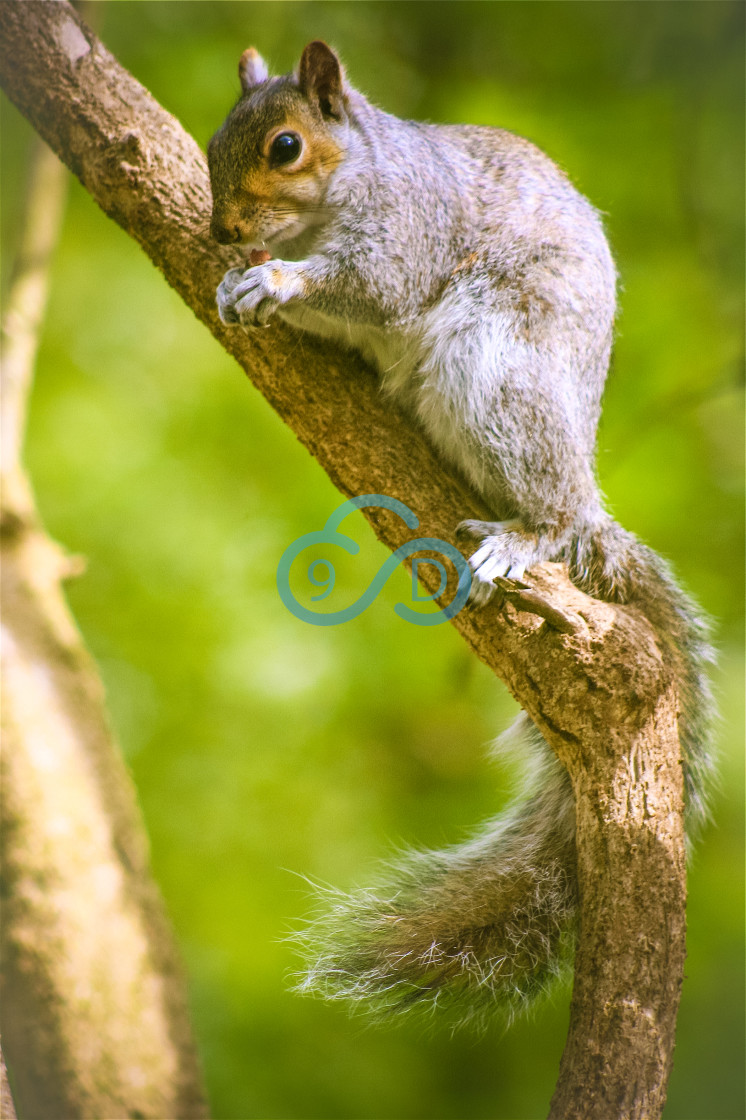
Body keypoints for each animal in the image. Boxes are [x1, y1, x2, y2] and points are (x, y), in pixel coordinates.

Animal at [206, 41, 712, 1025]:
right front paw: (241, 274)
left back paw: (528, 535)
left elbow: (372, 286)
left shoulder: (410, 233)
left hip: (501, 367)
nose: (218, 230)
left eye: (285, 146)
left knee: (551, 507)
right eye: (213, 141)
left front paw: (275, 279)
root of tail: (588, 496)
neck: (347, 185)